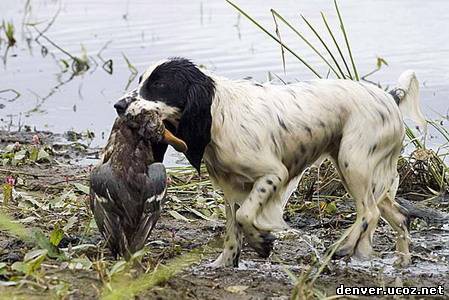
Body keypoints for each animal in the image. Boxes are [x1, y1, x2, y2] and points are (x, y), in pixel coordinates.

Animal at [114, 58, 426, 268]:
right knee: (399, 217)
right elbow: (233, 227)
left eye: (159, 85)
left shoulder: (273, 174)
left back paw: (343, 247)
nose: (118, 105)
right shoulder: (231, 186)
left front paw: (261, 243)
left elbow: (244, 216)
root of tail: (389, 96)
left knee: (368, 213)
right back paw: (402, 261)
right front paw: (224, 262)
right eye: (141, 82)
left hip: (354, 161)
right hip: (360, 169)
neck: (217, 111)